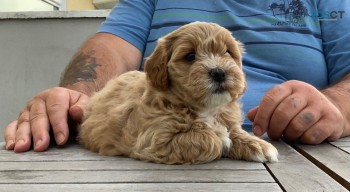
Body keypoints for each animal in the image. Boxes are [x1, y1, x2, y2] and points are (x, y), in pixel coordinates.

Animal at [77, 21, 278, 164]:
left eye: (227, 52)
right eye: (190, 56)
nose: (219, 72)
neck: (205, 108)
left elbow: (235, 131)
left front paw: (258, 144)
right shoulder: (155, 139)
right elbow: (205, 137)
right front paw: (221, 137)